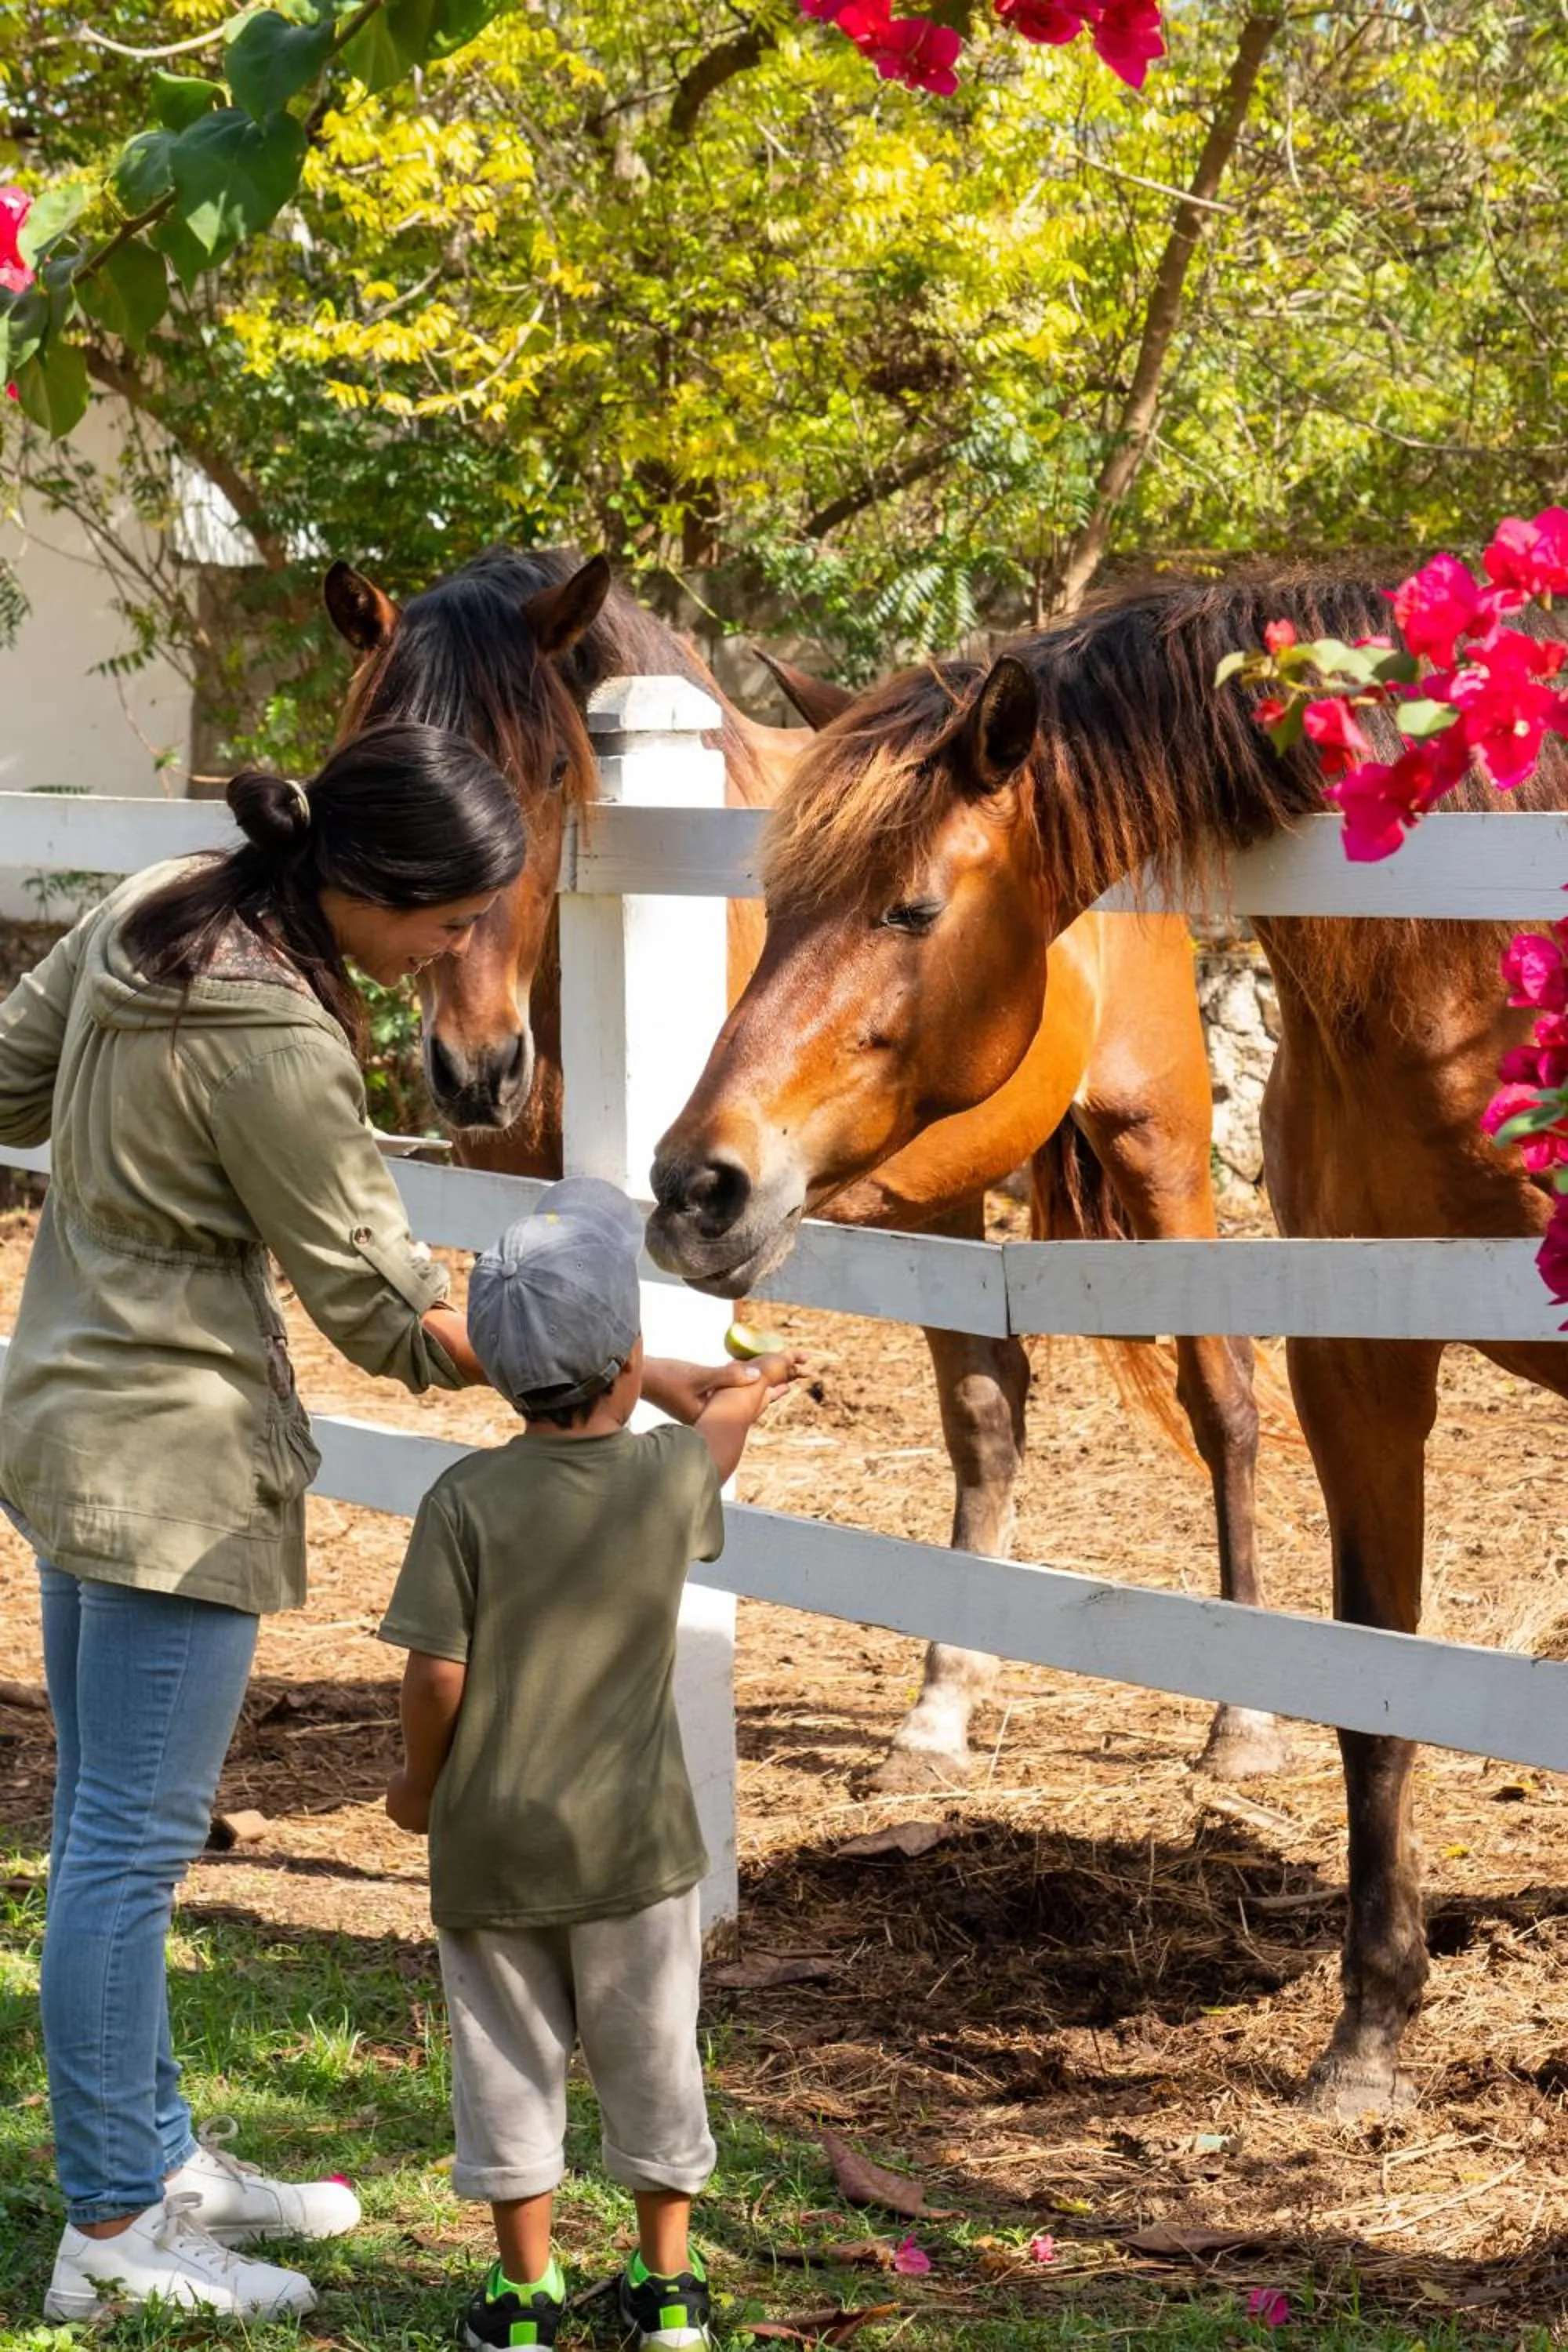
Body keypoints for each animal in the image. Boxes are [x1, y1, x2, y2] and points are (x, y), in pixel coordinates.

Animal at [324, 549, 1274, 1786]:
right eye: (365, 765)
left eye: (547, 769)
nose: (476, 1068)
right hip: (938, 1197)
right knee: (987, 1412)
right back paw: (941, 1706)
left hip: (1156, 1147)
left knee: (1222, 1396)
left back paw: (1240, 1719)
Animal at [647, 566, 1566, 2116]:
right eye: (775, 903)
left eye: (911, 907)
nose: (696, 1186)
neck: (1465, 983)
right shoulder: (1358, 1362)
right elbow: (1371, 1685)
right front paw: (1371, 2029)